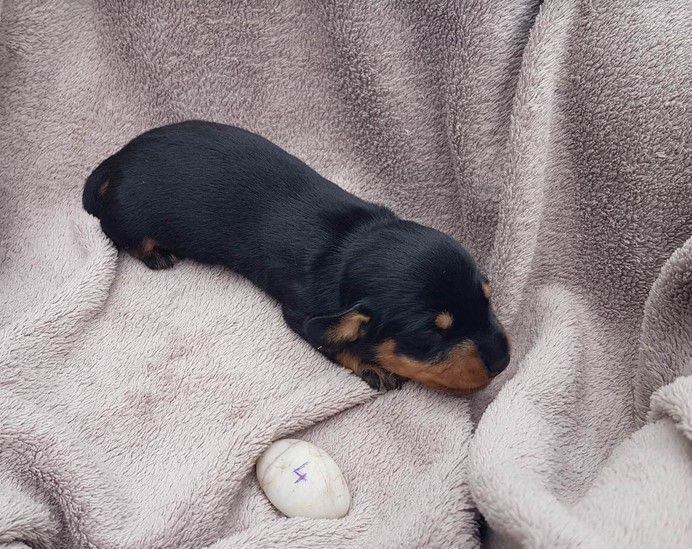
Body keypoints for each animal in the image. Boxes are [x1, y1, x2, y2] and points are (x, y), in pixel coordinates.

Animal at [83, 120, 510, 393]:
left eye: (488, 300)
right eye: (429, 335)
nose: (504, 362)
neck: (350, 243)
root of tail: (116, 160)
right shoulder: (301, 314)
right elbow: (333, 343)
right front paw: (372, 366)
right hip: (129, 217)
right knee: (115, 232)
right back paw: (156, 253)